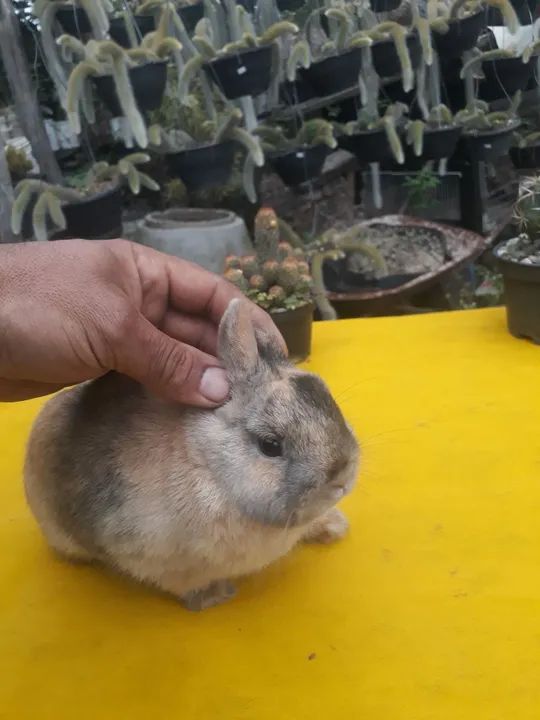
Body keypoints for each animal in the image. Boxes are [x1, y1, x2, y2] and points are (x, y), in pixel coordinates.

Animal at [24, 299, 359, 611]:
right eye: (270, 445)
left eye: (327, 399)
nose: (341, 479)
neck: (209, 465)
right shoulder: (160, 562)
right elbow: (185, 584)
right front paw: (215, 595)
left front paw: (334, 526)